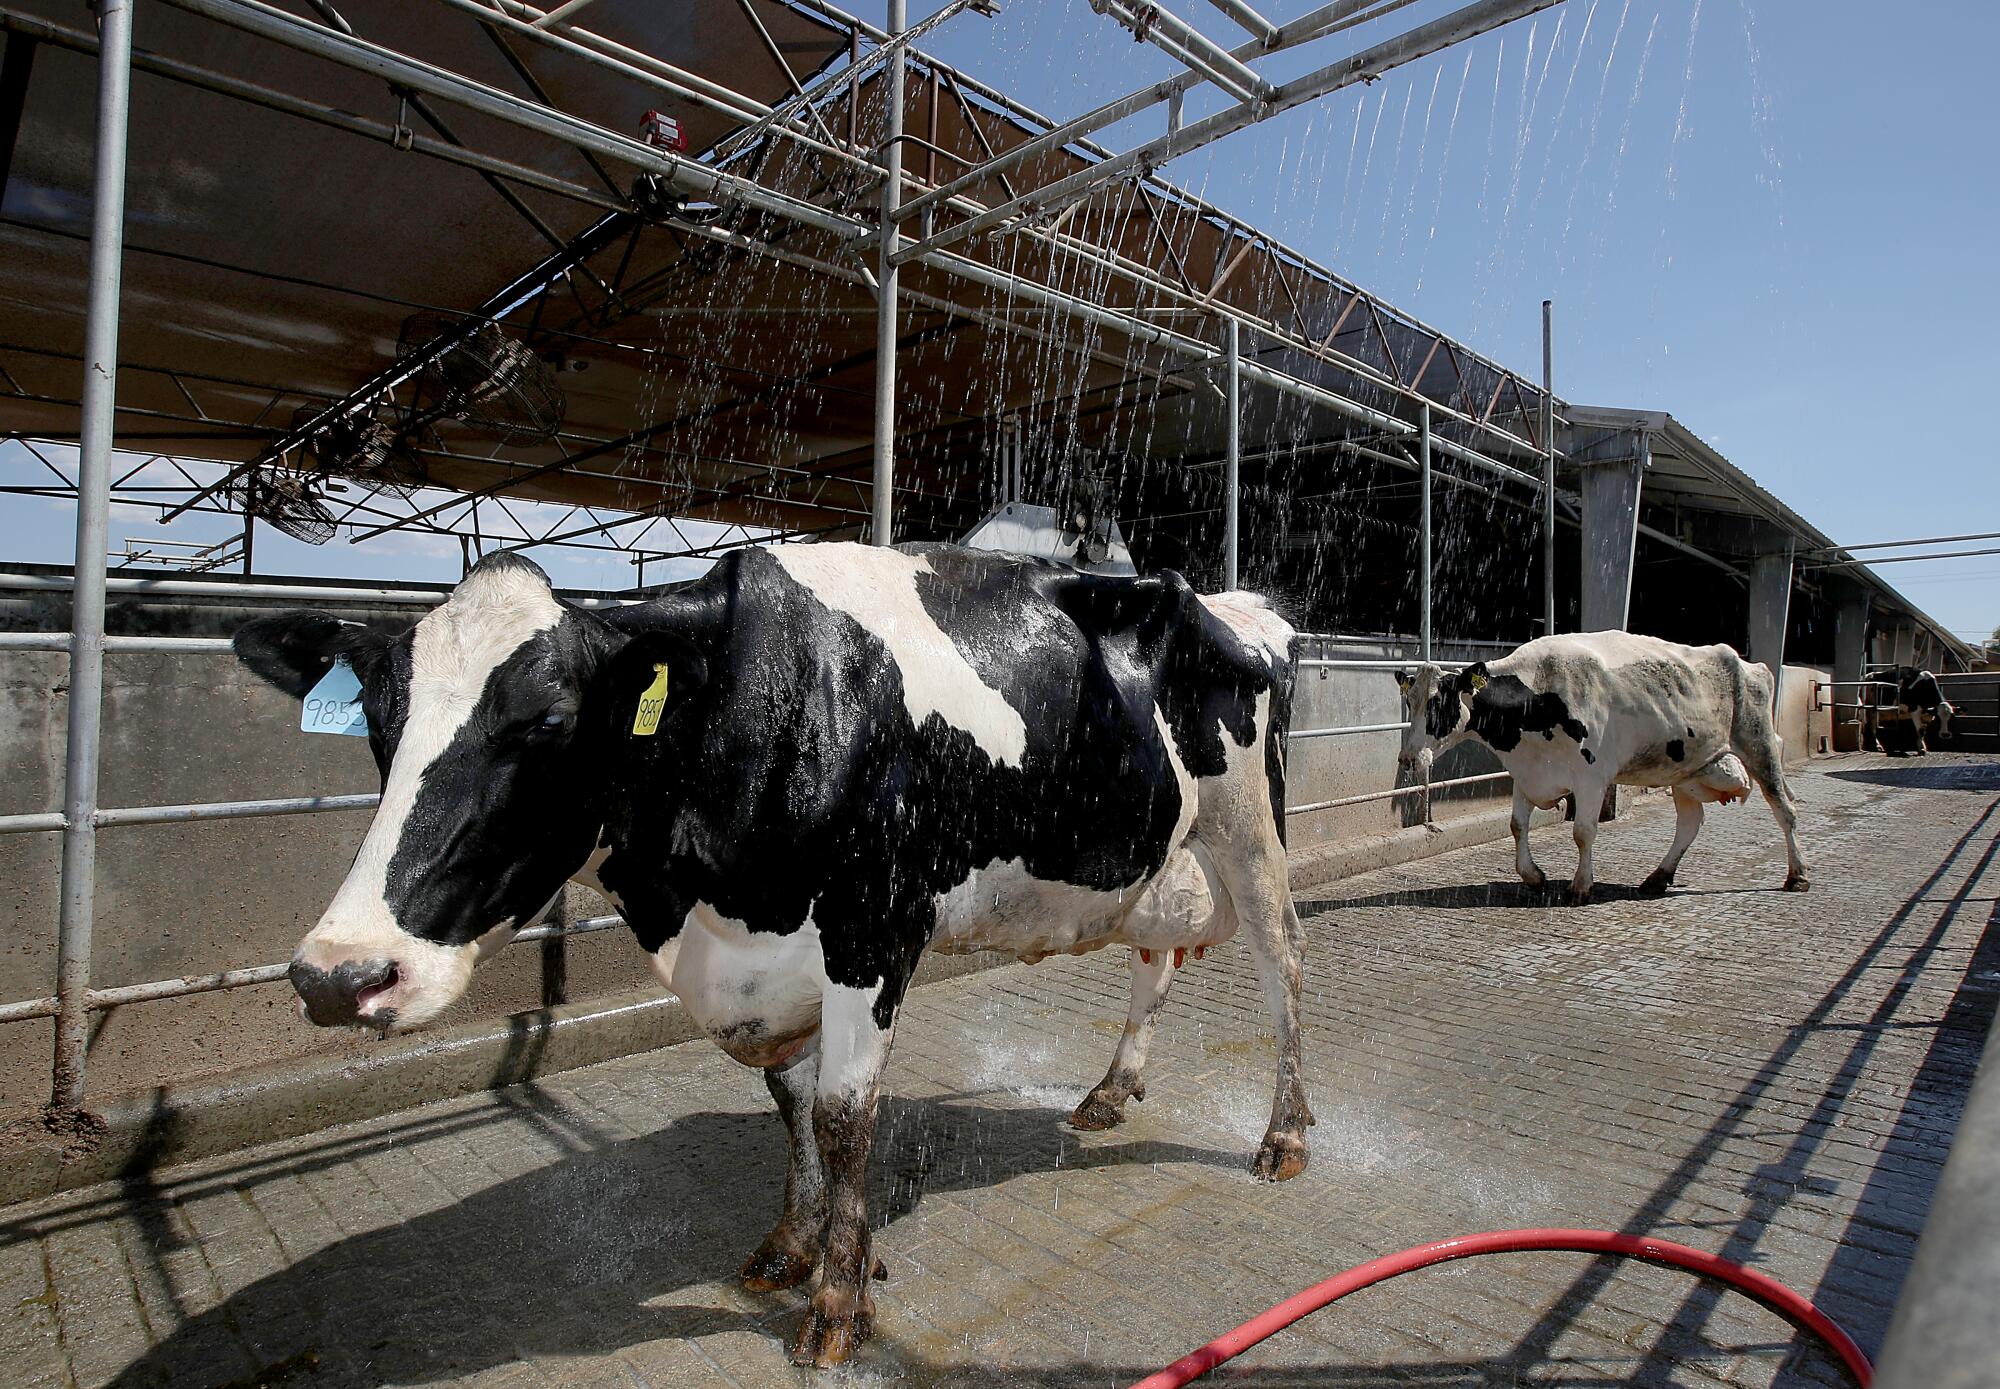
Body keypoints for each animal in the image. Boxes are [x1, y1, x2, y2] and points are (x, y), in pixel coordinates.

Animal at [234, 544, 1312, 1368]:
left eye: (546, 720)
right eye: (381, 725)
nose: (339, 973)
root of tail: (1234, 603)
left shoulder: (874, 929)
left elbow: (842, 1117)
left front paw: (837, 1304)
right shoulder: (769, 960)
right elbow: (788, 1102)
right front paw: (800, 1244)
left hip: (1248, 824)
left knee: (1283, 966)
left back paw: (1285, 1135)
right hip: (1160, 849)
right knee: (1155, 961)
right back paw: (1110, 1088)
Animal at [1392, 636, 1816, 908]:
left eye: (1439, 703)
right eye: (1409, 702)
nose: (1408, 759)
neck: (1538, 695)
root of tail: (1749, 664)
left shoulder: (1591, 777)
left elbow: (1583, 832)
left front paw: (1580, 887)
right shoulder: (1527, 772)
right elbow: (1517, 825)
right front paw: (1533, 876)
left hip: (1759, 746)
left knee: (1785, 810)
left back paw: (1797, 875)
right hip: (1685, 770)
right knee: (1689, 823)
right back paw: (1657, 878)